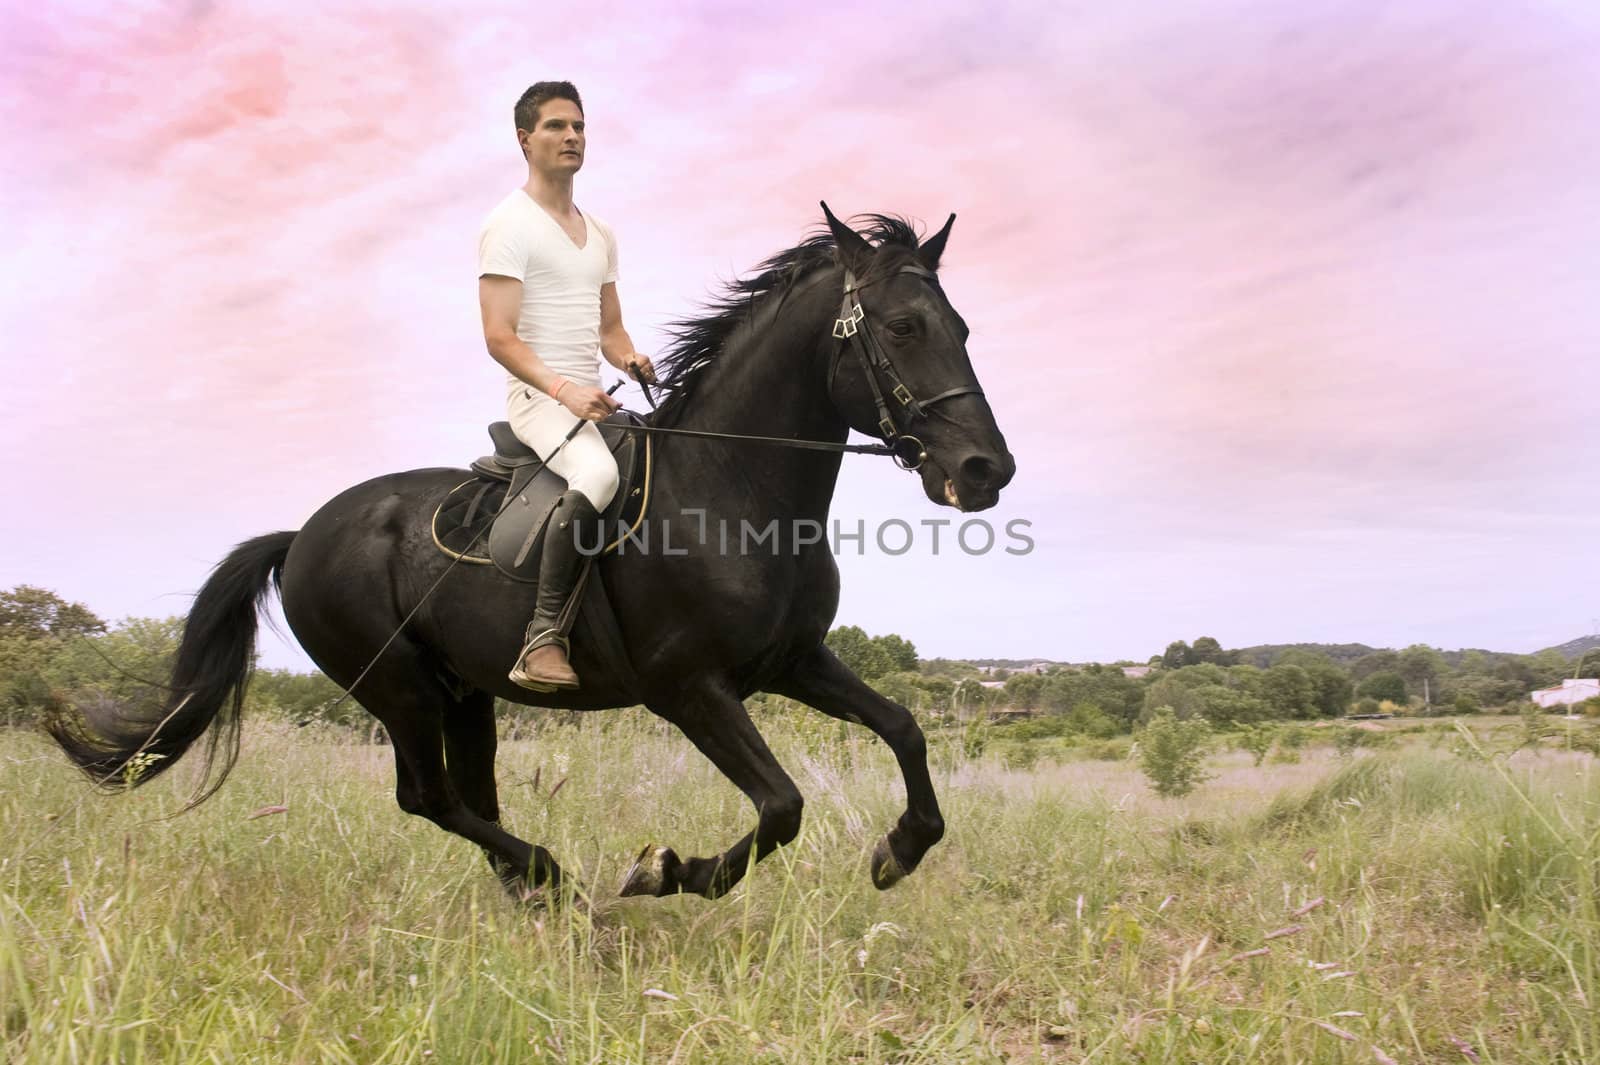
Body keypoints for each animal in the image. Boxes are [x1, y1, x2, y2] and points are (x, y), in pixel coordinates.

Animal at [59, 204, 1024, 895]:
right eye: (901, 329)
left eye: (964, 328)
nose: (987, 469)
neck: (732, 487)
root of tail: (302, 536)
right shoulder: (689, 687)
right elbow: (782, 806)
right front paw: (665, 871)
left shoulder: (792, 661)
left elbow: (904, 729)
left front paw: (899, 850)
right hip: (398, 688)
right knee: (428, 796)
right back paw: (549, 874)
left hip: (464, 693)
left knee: (466, 796)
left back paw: (529, 890)